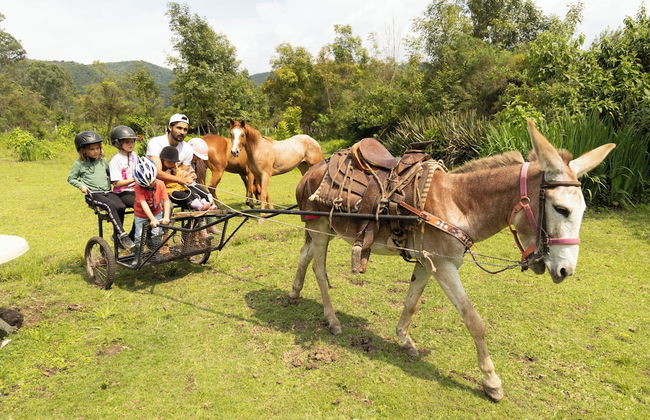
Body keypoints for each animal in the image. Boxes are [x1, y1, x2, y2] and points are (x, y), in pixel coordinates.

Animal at [289, 120, 615, 401]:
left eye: (582, 210)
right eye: (561, 209)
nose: (566, 269)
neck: (458, 203)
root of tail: (312, 170)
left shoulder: (426, 263)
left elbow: (411, 302)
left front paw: (405, 340)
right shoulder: (444, 266)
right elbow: (474, 320)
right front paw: (491, 381)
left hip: (325, 229)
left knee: (305, 255)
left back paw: (294, 292)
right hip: (321, 228)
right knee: (319, 269)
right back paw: (332, 320)